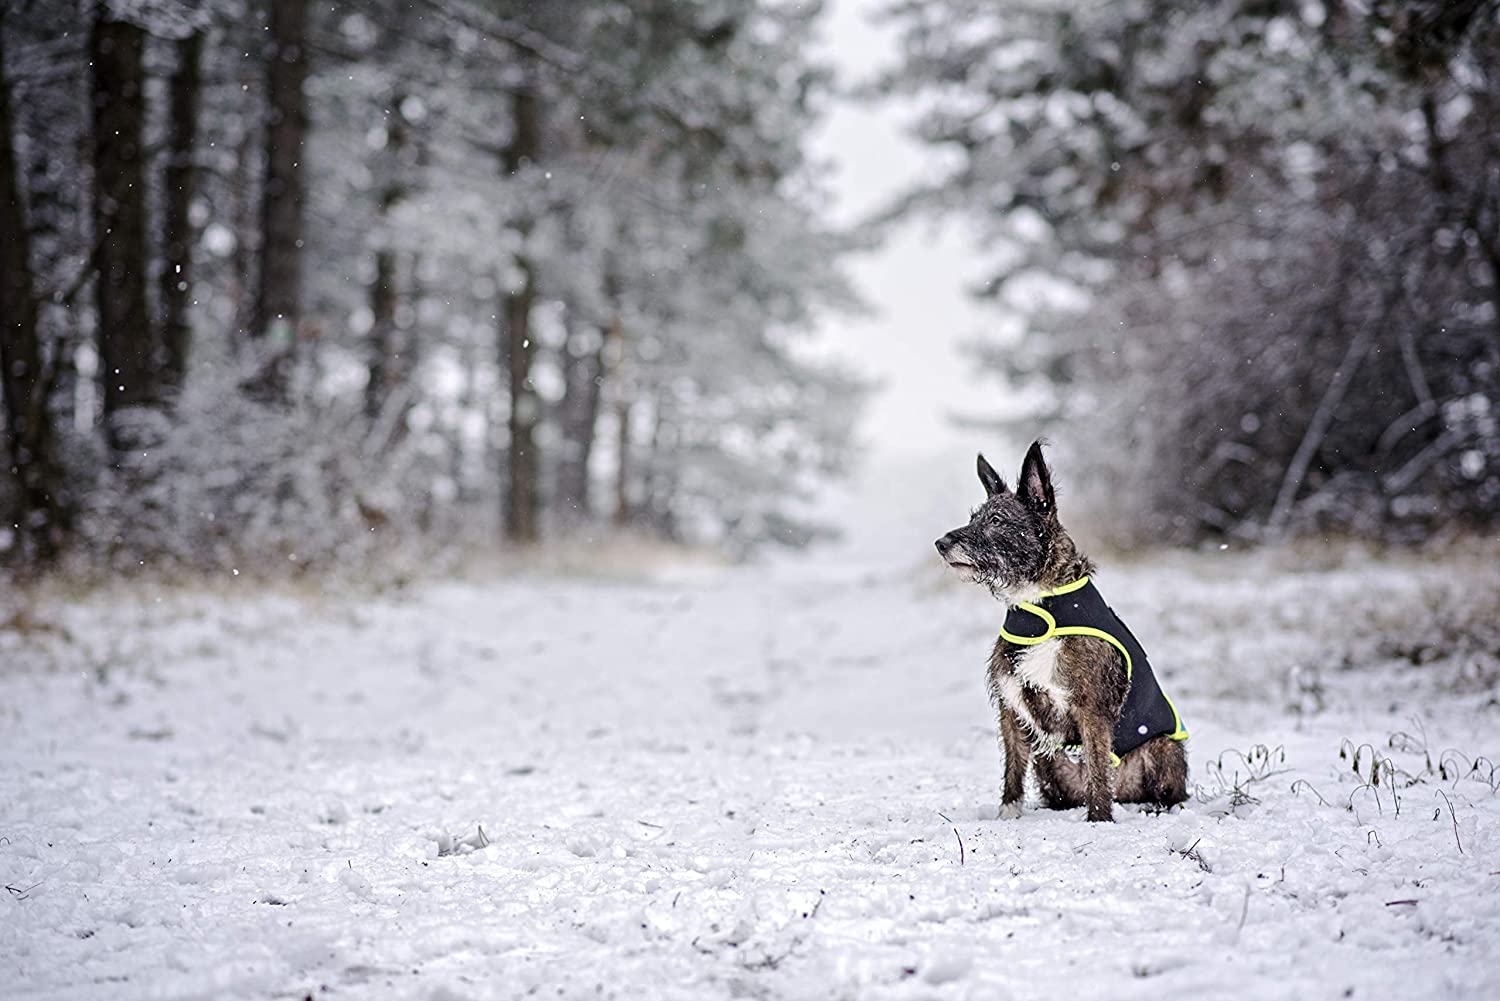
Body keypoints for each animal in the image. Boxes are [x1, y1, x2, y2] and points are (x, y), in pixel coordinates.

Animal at [930, 441, 1188, 816]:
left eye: (996, 520)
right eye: (973, 517)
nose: (941, 543)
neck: (1038, 609)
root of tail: (1127, 795)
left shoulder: (1090, 707)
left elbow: (1097, 767)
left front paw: (1099, 819)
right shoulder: (1011, 707)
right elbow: (1012, 767)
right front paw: (1008, 813)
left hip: (1163, 746)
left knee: (1166, 792)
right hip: (1048, 763)